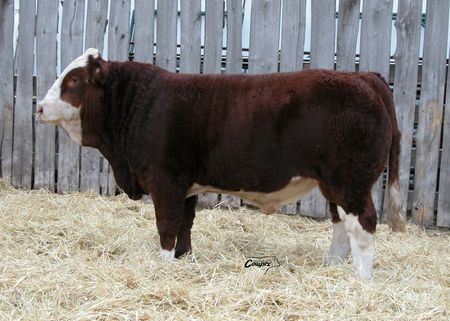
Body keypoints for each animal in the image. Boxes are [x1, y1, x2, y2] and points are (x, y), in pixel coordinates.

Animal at [37, 47, 406, 278]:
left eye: (74, 81)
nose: (39, 107)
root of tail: (365, 77)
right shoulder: (185, 185)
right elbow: (184, 225)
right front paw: (183, 259)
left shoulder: (165, 181)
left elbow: (167, 226)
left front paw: (163, 265)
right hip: (333, 182)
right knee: (341, 223)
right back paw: (331, 267)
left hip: (350, 180)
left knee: (363, 224)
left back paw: (361, 279)